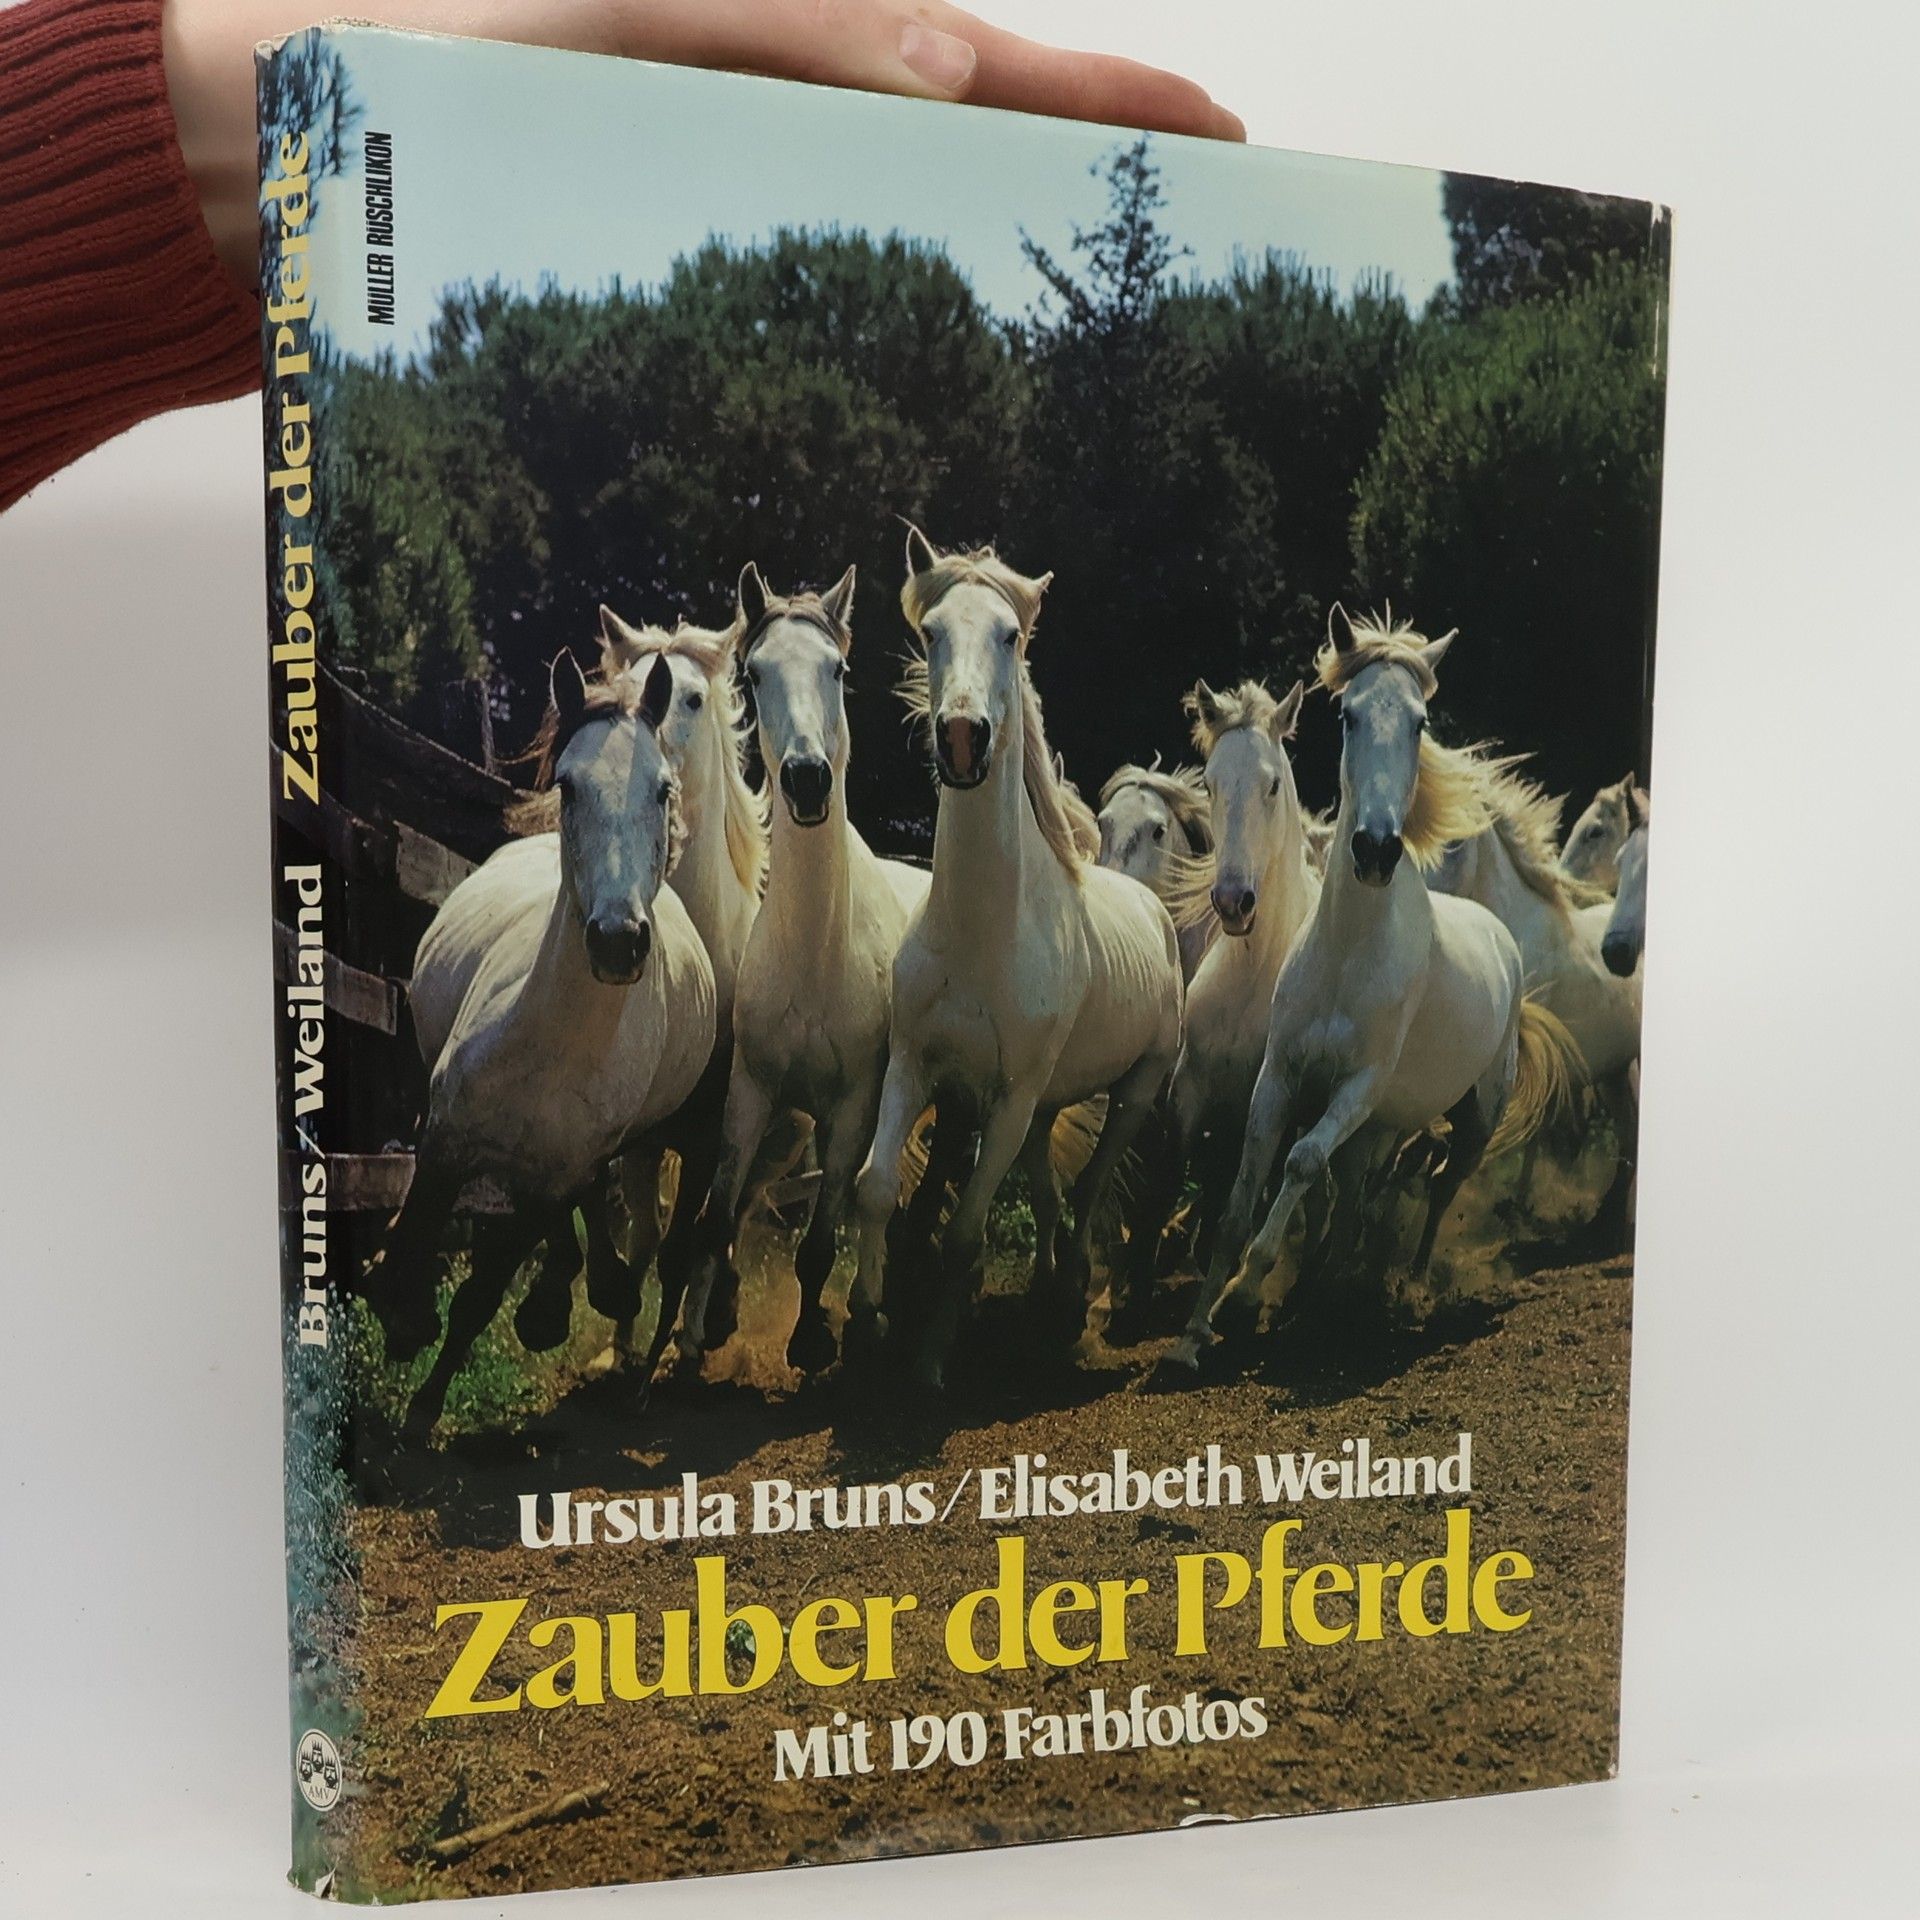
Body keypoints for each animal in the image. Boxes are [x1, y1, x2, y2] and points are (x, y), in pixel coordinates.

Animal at [369, 650, 716, 1436]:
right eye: (568, 786)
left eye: (662, 788)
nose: (618, 940)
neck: (549, 1049)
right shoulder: (445, 1141)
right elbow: (420, 1231)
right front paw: (402, 1316)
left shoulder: (551, 1180)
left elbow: (481, 1294)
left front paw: (425, 1406)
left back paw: (570, 1301)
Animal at [675, 561, 931, 1376]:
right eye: (754, 674)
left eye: (837, 669)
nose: (808, 780)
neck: (817, 951)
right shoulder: (751, 1091)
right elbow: (717, 1214)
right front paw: (689, 1341)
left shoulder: (852, 1105)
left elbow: (822, 1238)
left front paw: (814, 1339)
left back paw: (874, 1311)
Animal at [847, 530, 1185, 1389]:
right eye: (932, 632)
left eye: (1009, 635)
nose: (964, 737)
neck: (983, 932)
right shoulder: (916, 1065)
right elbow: (875, 1187)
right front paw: (865, 1325)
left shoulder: (1007, 1098)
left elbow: (966, 1228)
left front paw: (931, 1361)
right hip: (1047, 1104)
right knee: (1051, 1186)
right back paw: (1043, 1292)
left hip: (1133, 1088)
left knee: (1092, 1183)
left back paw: (1070, 1301)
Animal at [1112, 678, 1320, 1337]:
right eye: (1211, 784)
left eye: (1272, 784)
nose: (1233, 900)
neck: (1251, 975)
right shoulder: (1188, 1090)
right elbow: (1163, 1183)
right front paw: (1135, 1294)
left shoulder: (1266, 1100)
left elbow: (1238, 1191)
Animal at [1161, 609, 1580, 1376]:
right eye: (1348, 715)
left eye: (1420, 721)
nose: (1376, 850)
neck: (1349, 950)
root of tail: (1501, 938)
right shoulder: (1278, 1077)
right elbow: (1241, 1193)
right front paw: (1193, 1332)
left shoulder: (1356, 1087)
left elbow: (1300, 1163)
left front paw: (1242, 1296)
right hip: (1381, 1128)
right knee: (1362, 1200)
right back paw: (1324, 1297)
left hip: (1474, 1117)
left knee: (1440, 1185)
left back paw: (1406, 1286)